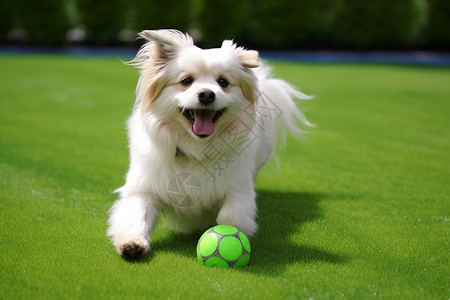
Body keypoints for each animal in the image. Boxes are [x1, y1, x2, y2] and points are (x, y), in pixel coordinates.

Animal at [107, 29, 312, 260]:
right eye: (186, 81)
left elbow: (231, 217)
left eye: (223, 82)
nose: (207, 93)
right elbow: (135, 215)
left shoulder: (238, 190)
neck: (196, 148)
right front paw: (132, 243)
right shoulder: (143, 190)